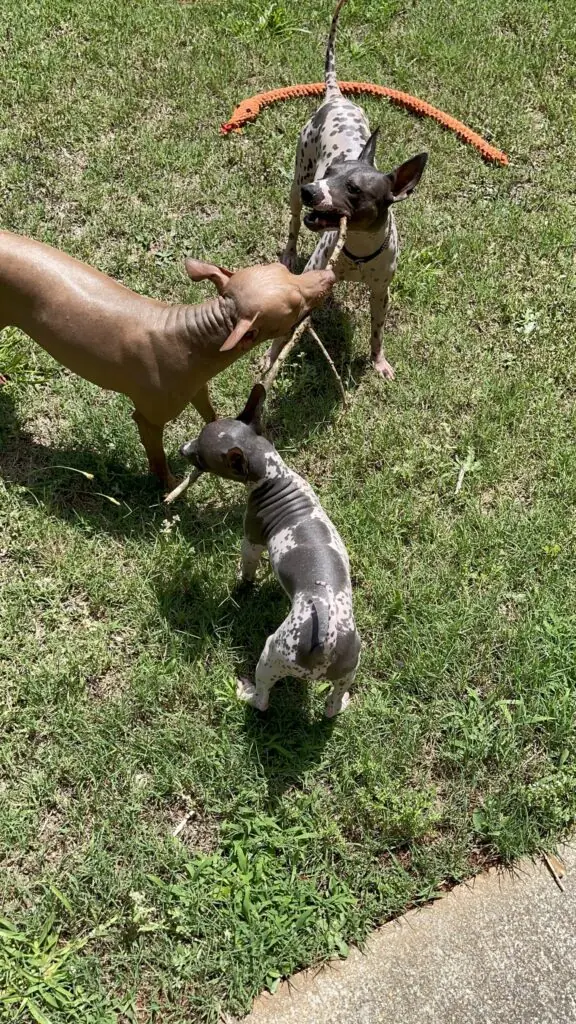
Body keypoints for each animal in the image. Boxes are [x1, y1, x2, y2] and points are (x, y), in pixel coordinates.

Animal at [0, 232, 332, 487]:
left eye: (287, 270)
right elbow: (158, 457)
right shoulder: (148, 419)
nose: (328, 276)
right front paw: (168, 487)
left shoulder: (198, 388)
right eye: (295, 304)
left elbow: (211, 415)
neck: (193, 337)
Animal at [179, 385, 358, 720]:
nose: (182, 448)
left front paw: (242, 584)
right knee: (332, 706)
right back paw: (342, 703)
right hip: (348, 668)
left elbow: (247, 569)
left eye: (199, 454)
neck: (276, 475)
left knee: (263, 700)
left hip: (272, 654)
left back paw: (246, 693)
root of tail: (326, 643)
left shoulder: (250, 541)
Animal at [272, 0, 426, 380]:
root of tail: (336, 94)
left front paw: (379, 362)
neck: (357, 250)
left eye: (354, 188)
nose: (313, 191)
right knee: (293, 222)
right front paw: (271, 359)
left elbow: (377, 332)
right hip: (296, 179)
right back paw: (289, 250)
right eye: (332, 172)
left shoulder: (381, 294)